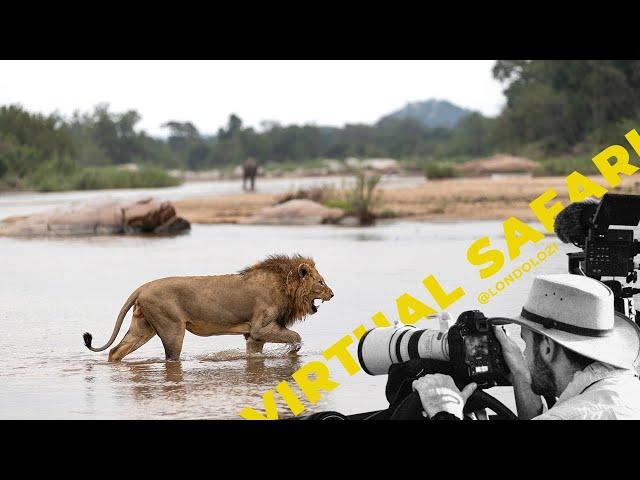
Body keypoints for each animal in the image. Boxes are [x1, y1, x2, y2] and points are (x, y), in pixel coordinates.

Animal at [81, 255, 336, 360]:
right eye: (321, 282)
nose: (332, 294)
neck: (285, 287)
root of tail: (142, 288)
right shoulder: (260, 328)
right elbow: (295, 336)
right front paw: (293, 351)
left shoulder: (253, 336)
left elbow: (254, 354)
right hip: (172, 329)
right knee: (171, 357)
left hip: (143, 328)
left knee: (116, 351)